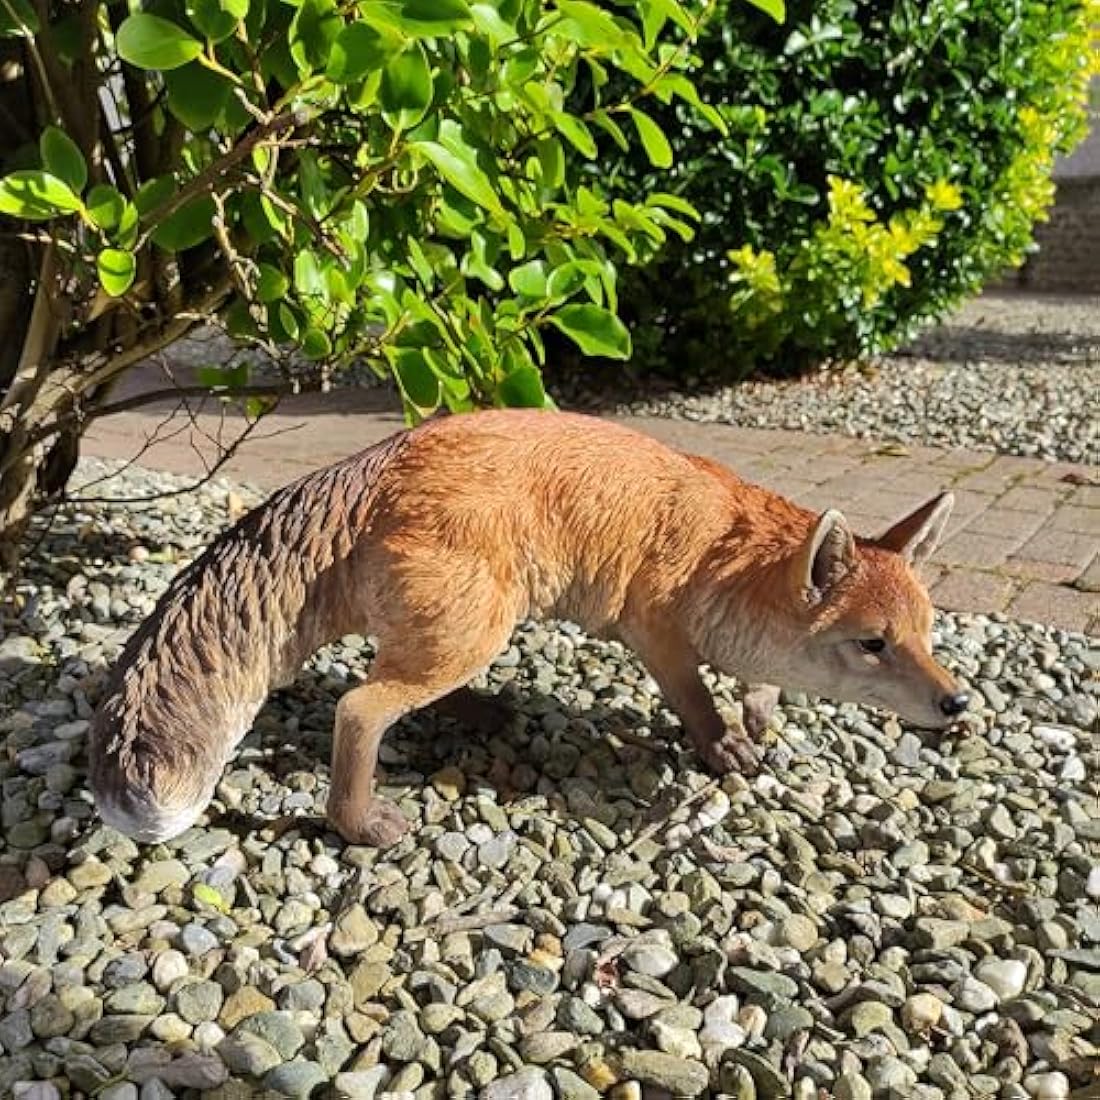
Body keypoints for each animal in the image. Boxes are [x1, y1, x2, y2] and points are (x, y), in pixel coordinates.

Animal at [88, 410, 968, 848]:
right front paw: (724, 747)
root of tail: (377, 458)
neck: (723, 551)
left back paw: (478, 712)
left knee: (396, 685)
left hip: (464, 630)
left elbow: (762, 688)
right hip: (476, 627)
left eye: (928, 637)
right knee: (359, 709)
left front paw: (759, 718)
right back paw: (359, 823)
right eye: (874, 645)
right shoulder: (658, 635)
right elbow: (697, 702)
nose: (957, 705)